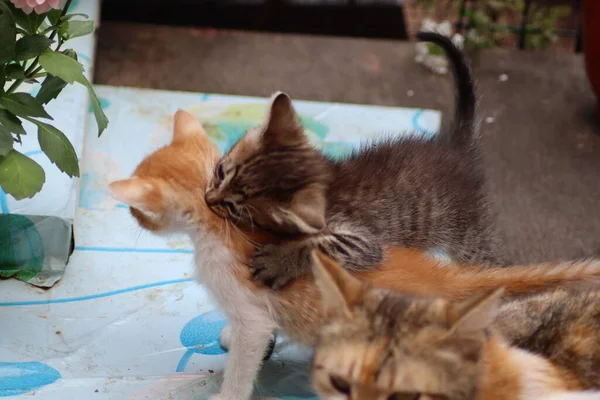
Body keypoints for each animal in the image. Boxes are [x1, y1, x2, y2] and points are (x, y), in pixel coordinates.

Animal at [206, 30, 502, 288]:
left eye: (234, 208)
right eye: (220, 172)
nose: (207, 199)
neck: (331, 182)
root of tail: (455, 149)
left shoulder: (366, 241)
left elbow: (323, 248)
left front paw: (279, 261)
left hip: (469, 235)